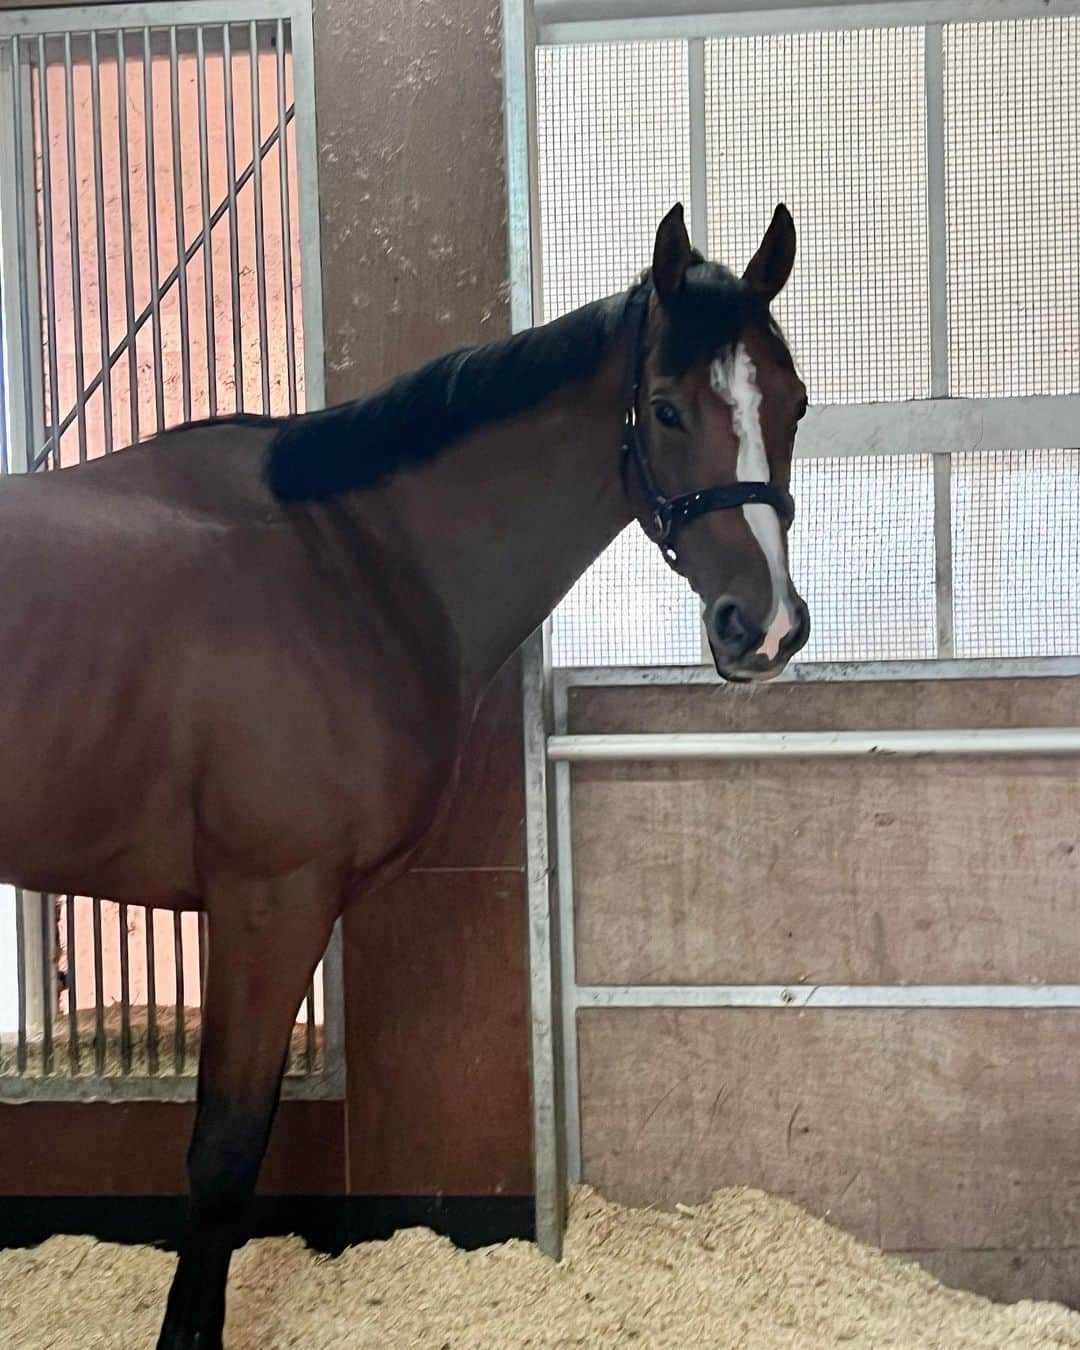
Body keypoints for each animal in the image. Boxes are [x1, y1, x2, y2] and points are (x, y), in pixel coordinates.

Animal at [0, 202, 810, 1350]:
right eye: (664, 408)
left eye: (794, 405)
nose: (767, 626)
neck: (350, 561)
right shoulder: (268, 904)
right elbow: (221, 1159)